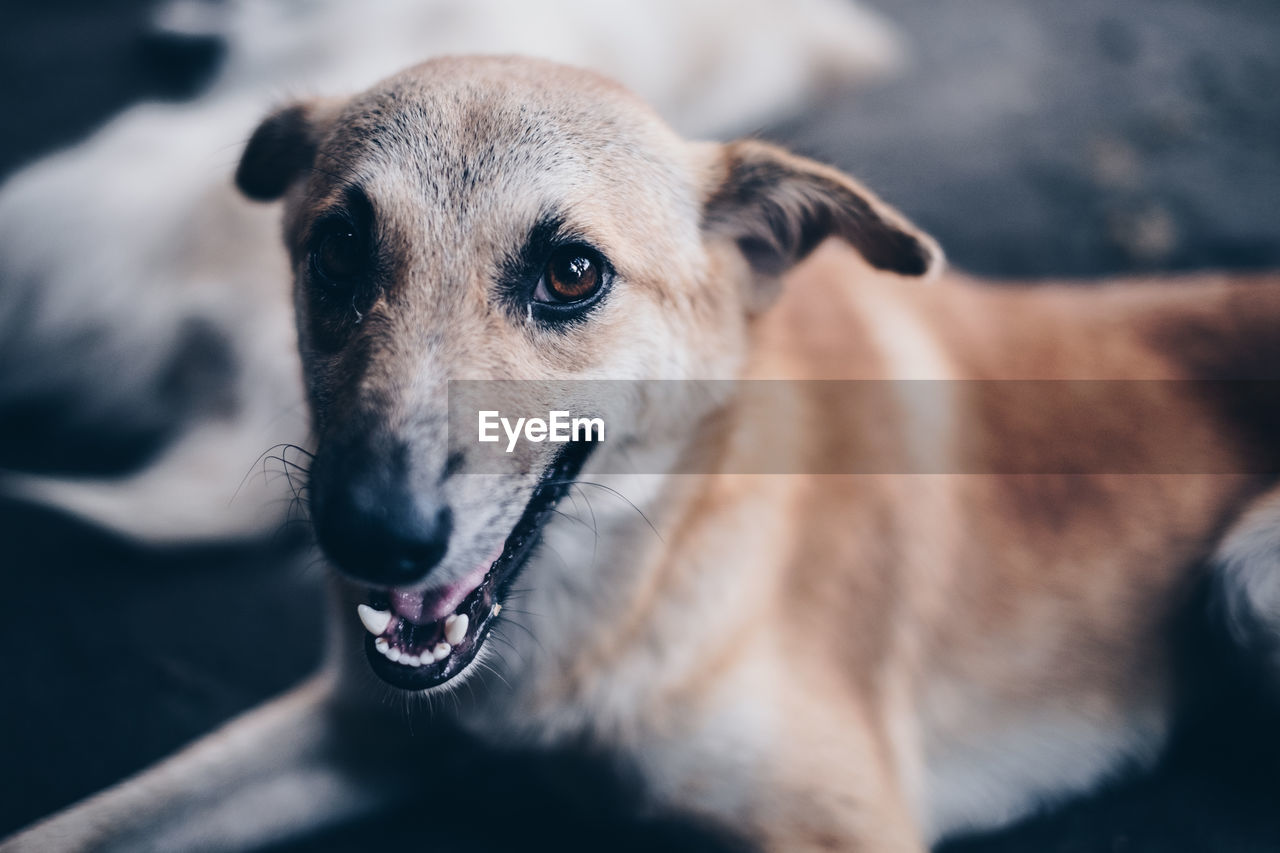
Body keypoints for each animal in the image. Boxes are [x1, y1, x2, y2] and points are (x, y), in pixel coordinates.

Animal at [10, 54, 1280, 850]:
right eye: (334, 253)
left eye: (571, 273)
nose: (365, 532)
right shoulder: (354, 729)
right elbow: (80, 824)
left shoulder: (843, 823)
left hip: (1244, 581)